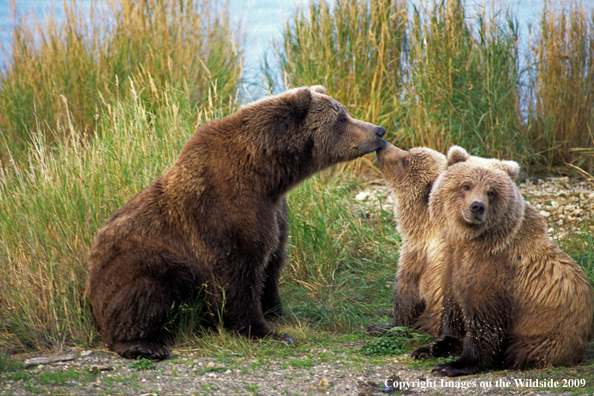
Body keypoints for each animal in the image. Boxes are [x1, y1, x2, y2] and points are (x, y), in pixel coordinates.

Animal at [86, 86, 384, 358]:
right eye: (342, 118)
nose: (379, 131)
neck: (267, 172)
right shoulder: (226, 208)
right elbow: (238, 271)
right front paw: (266, 331)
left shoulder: (275, 211)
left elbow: (272, 262)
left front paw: (277, 311)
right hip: (138, 262)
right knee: (149, 288)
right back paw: (142, 344)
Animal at [412, 146, 592, 378]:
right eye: (466, 185)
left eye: (491, 191)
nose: (477, 206)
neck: (471, 240)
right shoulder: (452, 262)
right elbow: (451, 306)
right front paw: (432, 346)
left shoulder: (494, 273)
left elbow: (484, 323)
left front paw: (454, 365)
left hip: (545, 338)